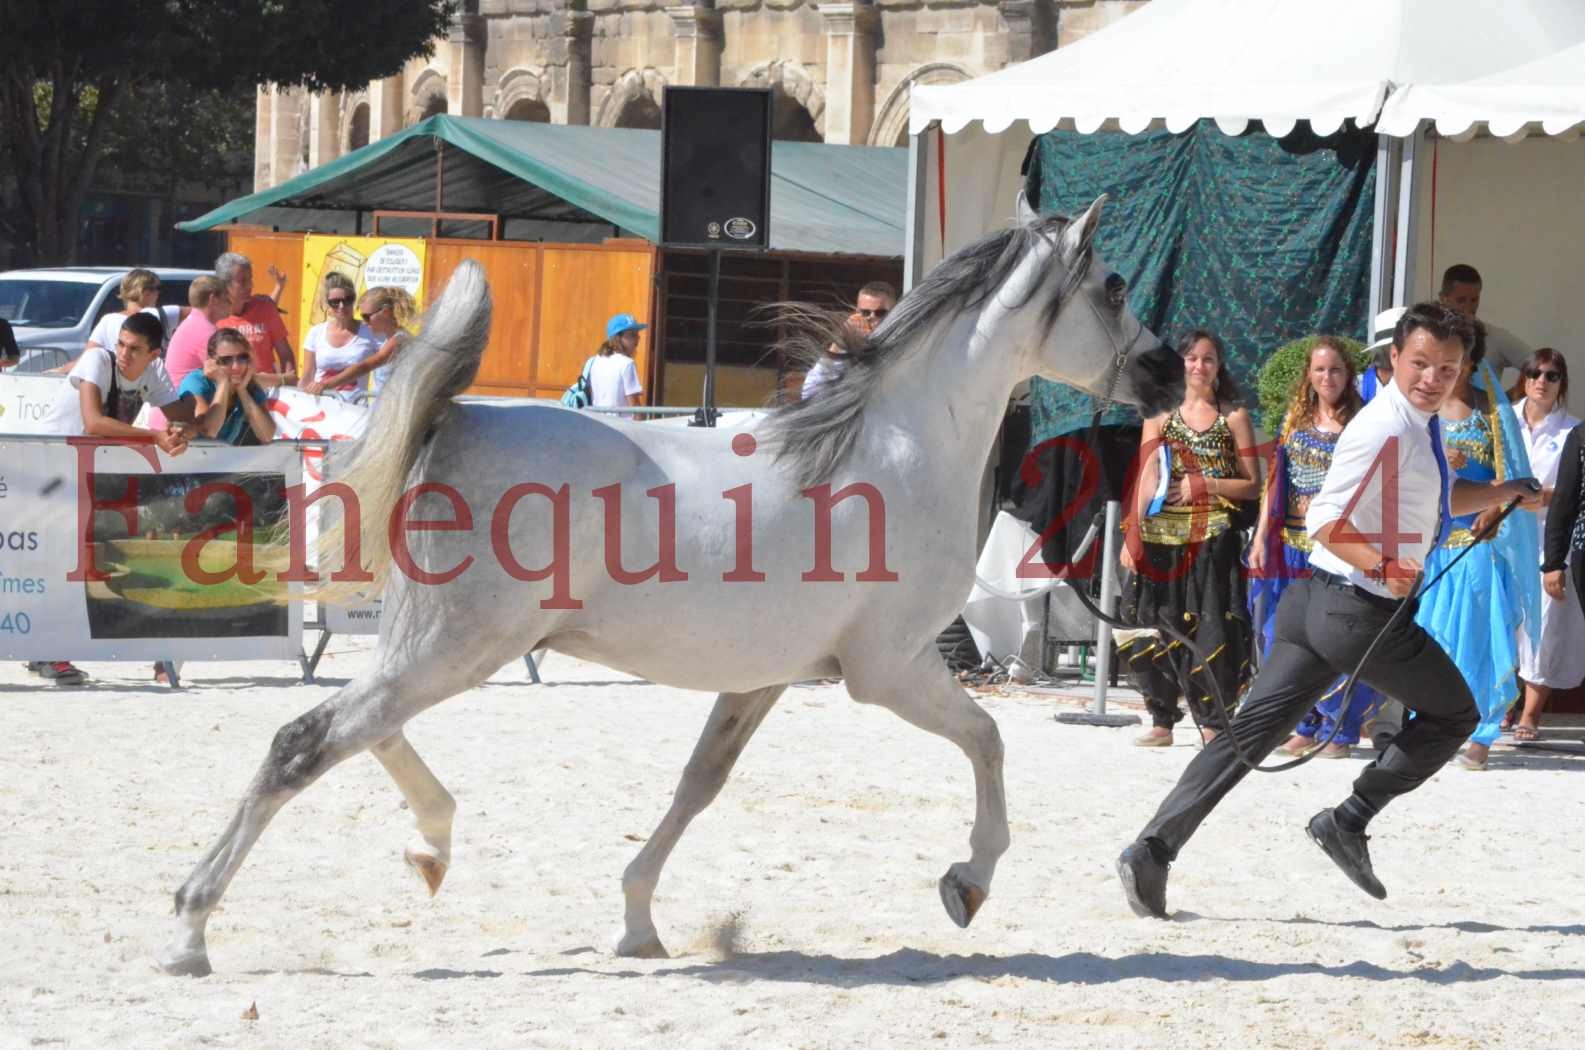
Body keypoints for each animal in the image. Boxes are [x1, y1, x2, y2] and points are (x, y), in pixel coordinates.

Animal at [157, 193, 1179, 977]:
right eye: (1114, 286)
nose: (1170, 370)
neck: (895, 446)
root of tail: (458, 419)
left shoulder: (764, 679)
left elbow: (698, 787)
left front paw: (638, 923)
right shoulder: (888, 670)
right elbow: (988, 741)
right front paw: (967, 883)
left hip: (439, 646)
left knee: (366, 732)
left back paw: (430, 849)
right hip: (457, 646)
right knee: (305, 742)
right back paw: (191, 931)